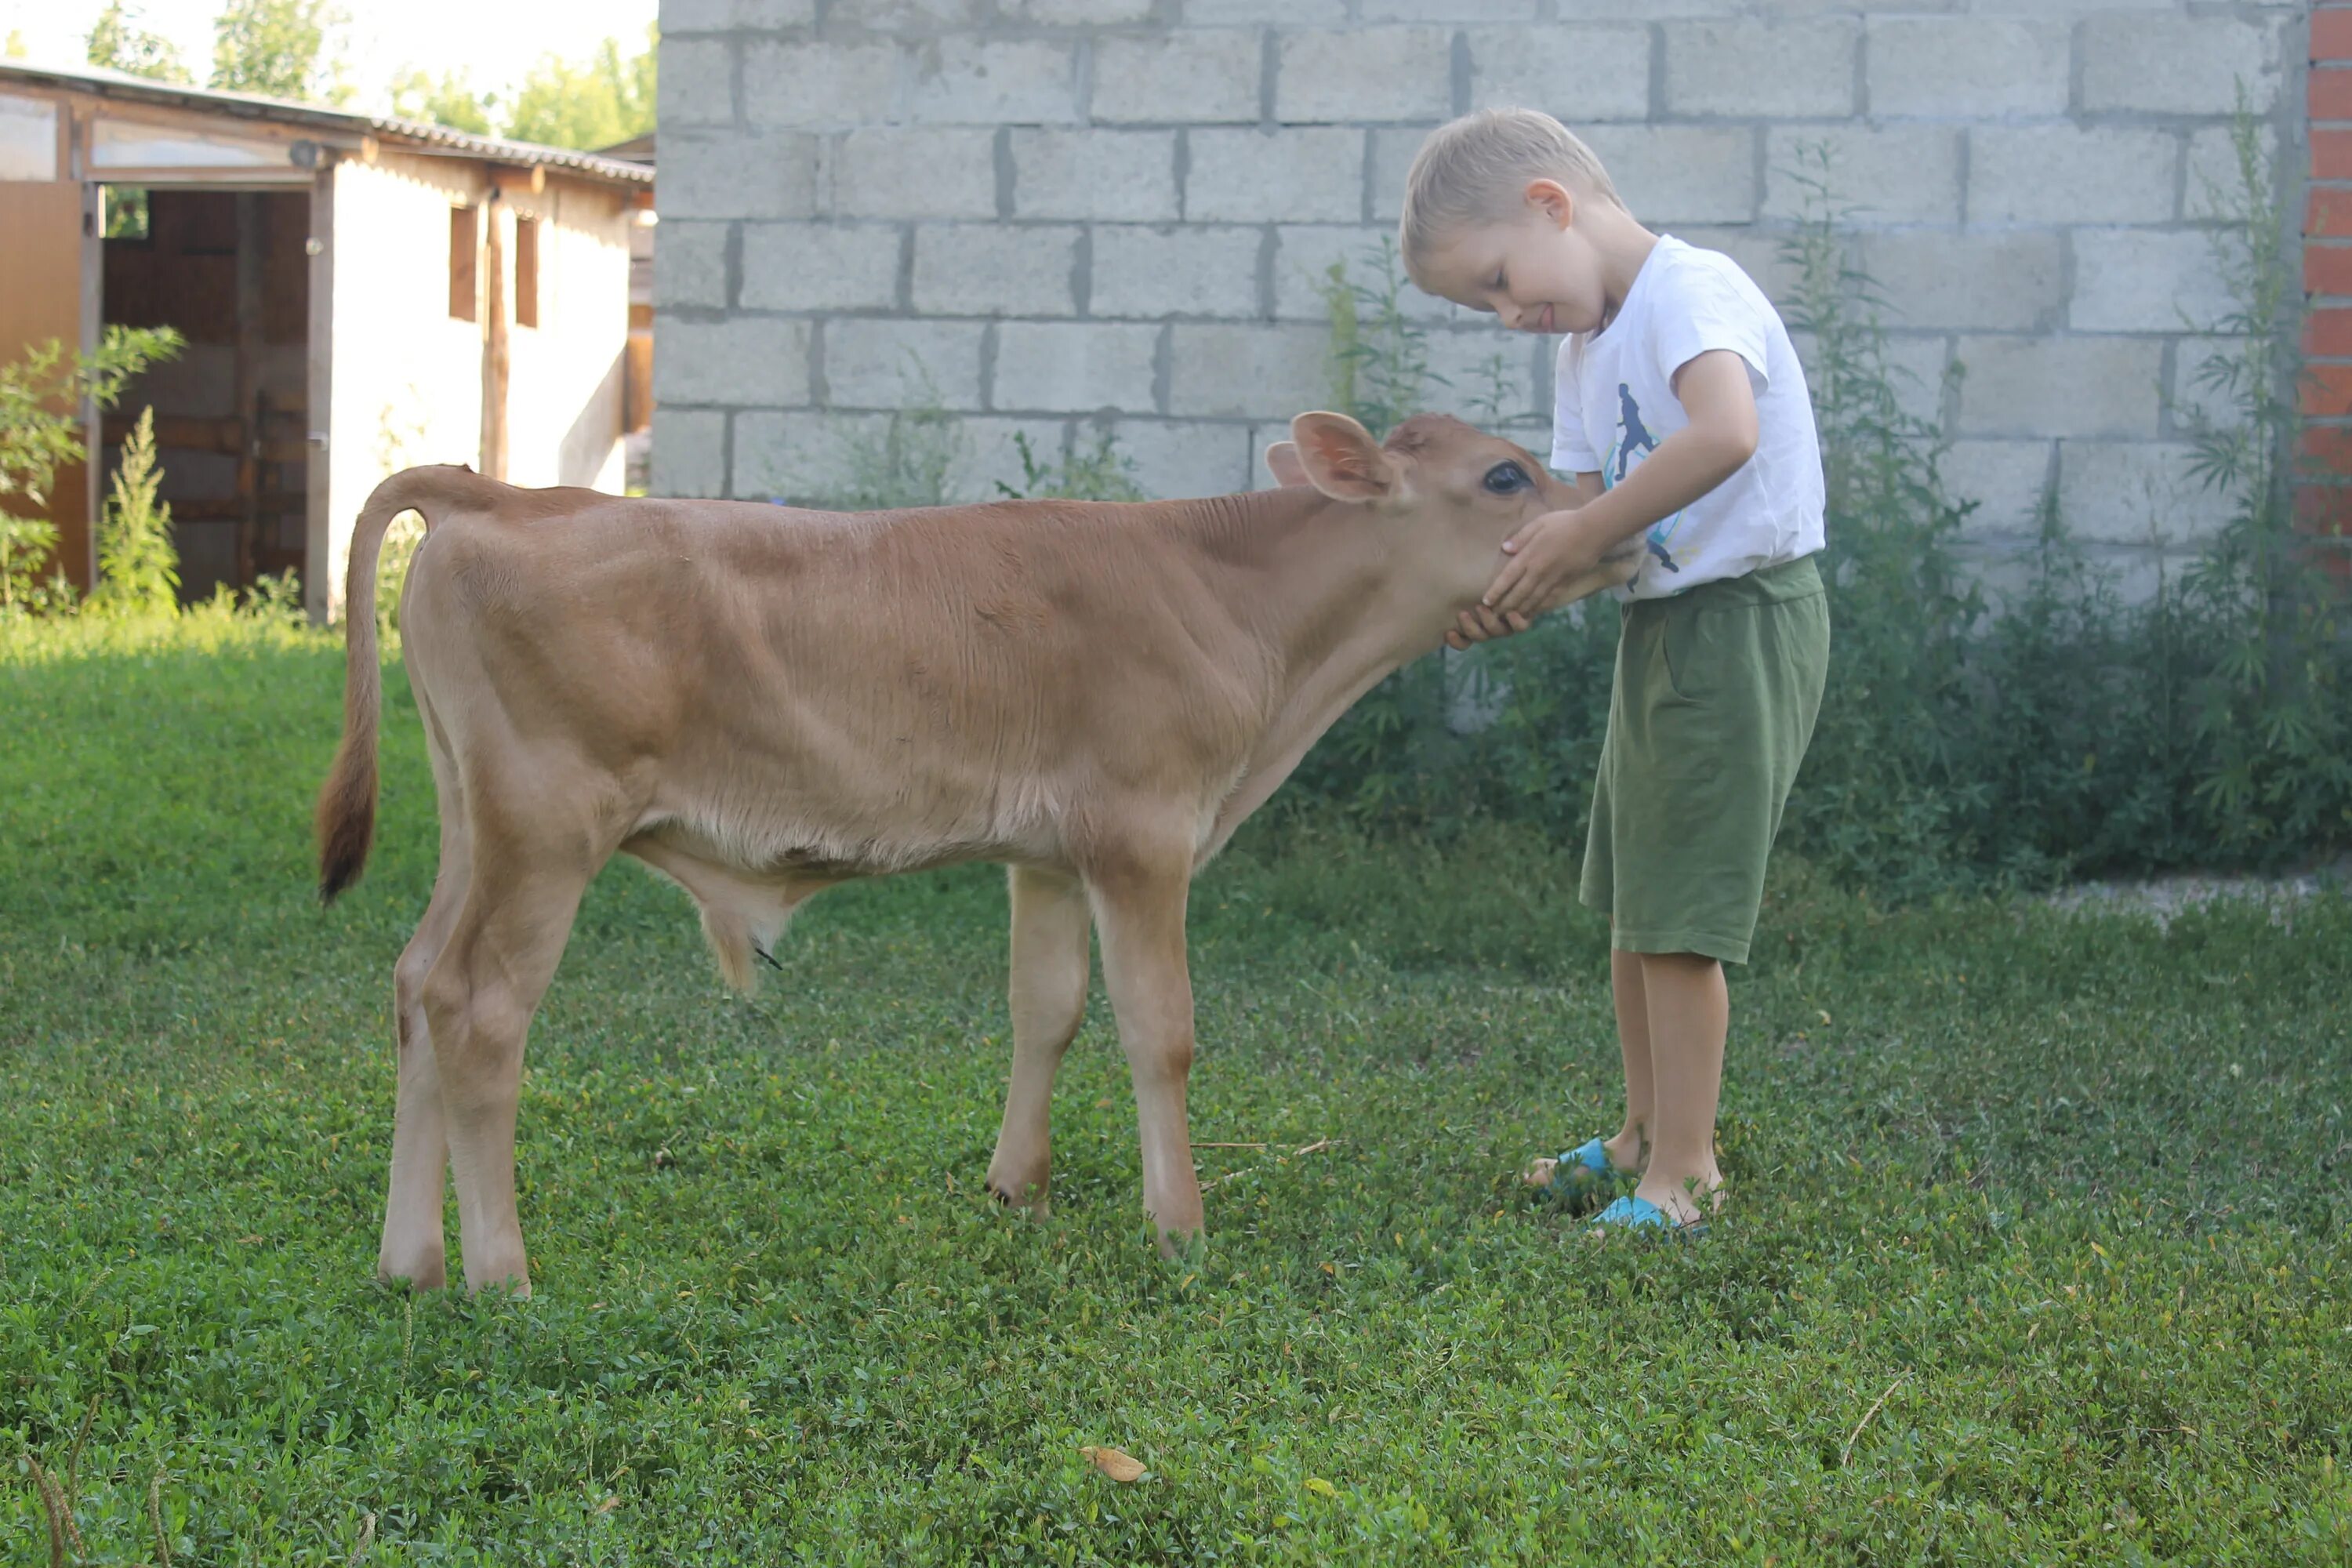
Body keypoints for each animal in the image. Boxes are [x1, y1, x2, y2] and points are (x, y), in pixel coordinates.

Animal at [318, 411, 1637, 1298]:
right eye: (1505, 473)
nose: (1626, 523)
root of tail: (503, 492)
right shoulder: (1141, 832)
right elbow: (1160, 1031)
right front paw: (1181, 1226)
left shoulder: (1046, 853)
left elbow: (1043, 1008)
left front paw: (1017, 1191)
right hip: (547, 826)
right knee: (480, 1011)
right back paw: (502, 1276)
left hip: (472, 821)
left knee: (415, 983)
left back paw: (406, 1263)